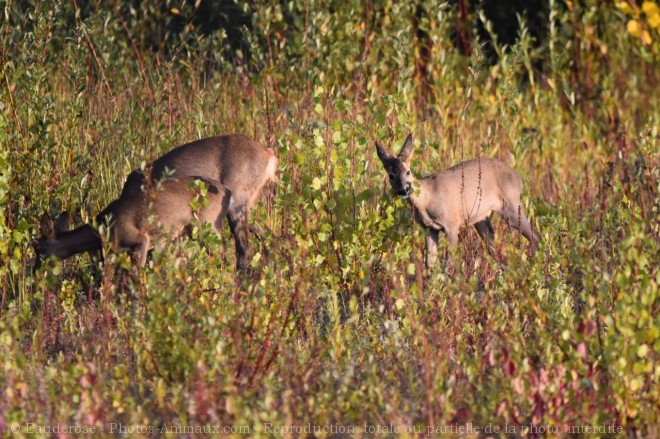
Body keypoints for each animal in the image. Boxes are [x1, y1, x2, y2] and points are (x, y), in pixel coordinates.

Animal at [36, 171, 232, 268]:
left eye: (39, 249)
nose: (33, 270)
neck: (103, 229)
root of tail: (227, 191)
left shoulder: (140, 239)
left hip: (208, 226)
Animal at [376, 132, 540, 268]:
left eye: (408, 172)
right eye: (391, 175)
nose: (404, 189)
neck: (427, 200)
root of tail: (518, 178)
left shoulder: (452, 224)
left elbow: (448, 264)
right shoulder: (429, 228)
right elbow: (430, 263)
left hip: (511, 205)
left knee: (535, 236)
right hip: (481, 218)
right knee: (492, 247)